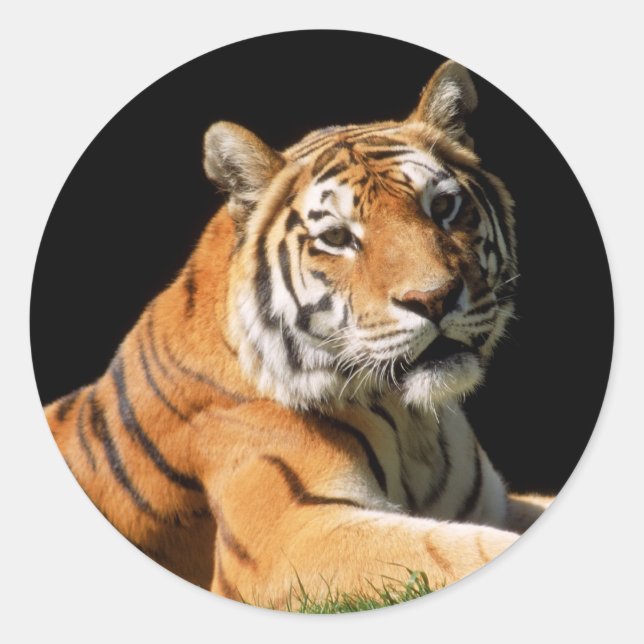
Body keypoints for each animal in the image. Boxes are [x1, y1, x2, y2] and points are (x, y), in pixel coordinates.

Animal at [45, 60, 551, 609]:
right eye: (337, 237)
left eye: (443, 207)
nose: (433, 298)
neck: (412, 422)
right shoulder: (292, 537)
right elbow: (456, 550)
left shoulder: (494, 503)